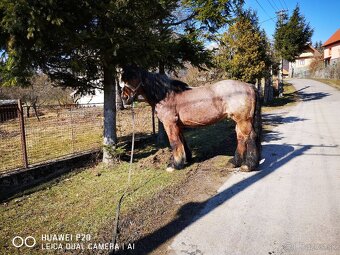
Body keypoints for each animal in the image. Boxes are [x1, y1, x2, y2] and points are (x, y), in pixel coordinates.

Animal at [121, 66, 262, 173]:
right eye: (122, 80)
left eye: (134, 77)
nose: (124, 98)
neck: (165, 95)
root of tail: (249, 86)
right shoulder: (178, 125)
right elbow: (182, 141)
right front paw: (186, 159)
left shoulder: (170, 124)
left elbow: (174, 143)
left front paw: (175, 165)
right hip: (239, 121)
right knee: (241, 138)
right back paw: (234, 162)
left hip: (243, 120)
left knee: (249, 137)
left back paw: (248, 165)